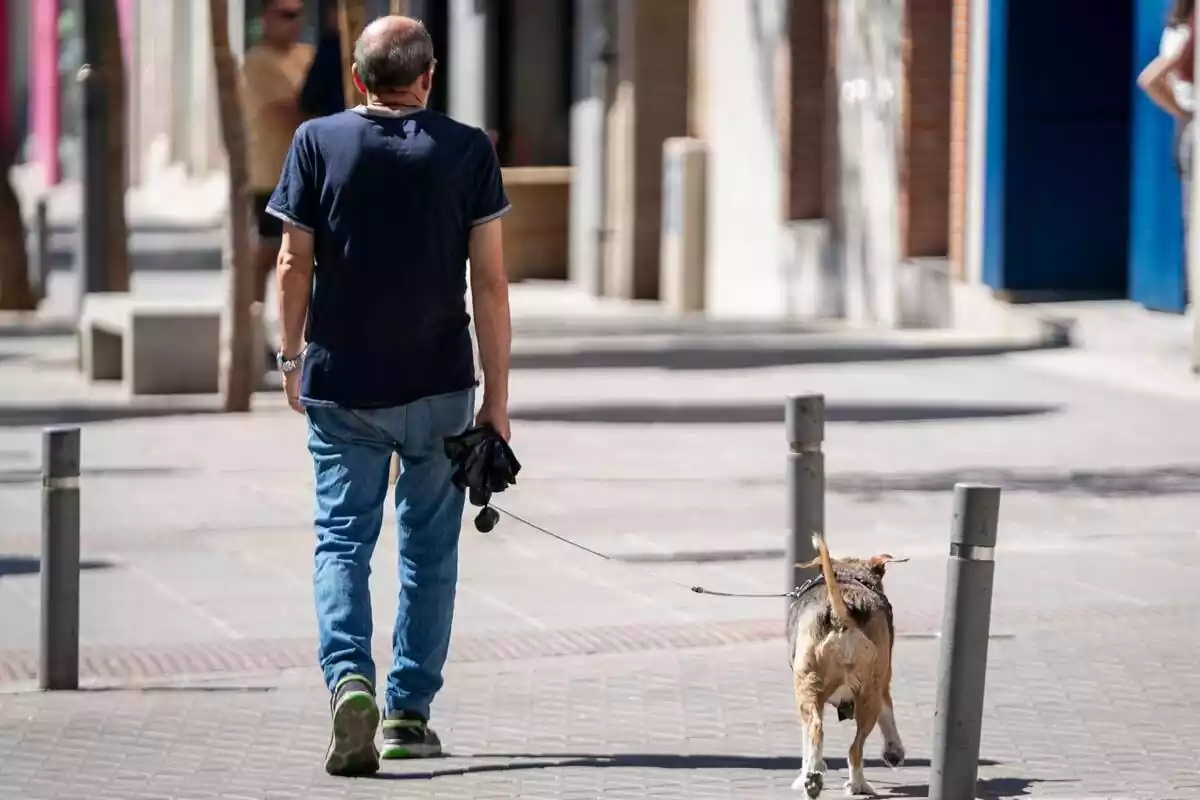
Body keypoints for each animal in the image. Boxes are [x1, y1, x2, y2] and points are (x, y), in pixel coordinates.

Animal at [782, 532, 902, 796]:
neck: (848, 574)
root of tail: (842, 615)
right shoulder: (884, 682)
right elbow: (888, 713)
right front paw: (894, 751)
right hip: (869, 691)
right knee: (855, 747)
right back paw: (854, 784)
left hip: (807, 685)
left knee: (816, 729)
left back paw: (815, 777)